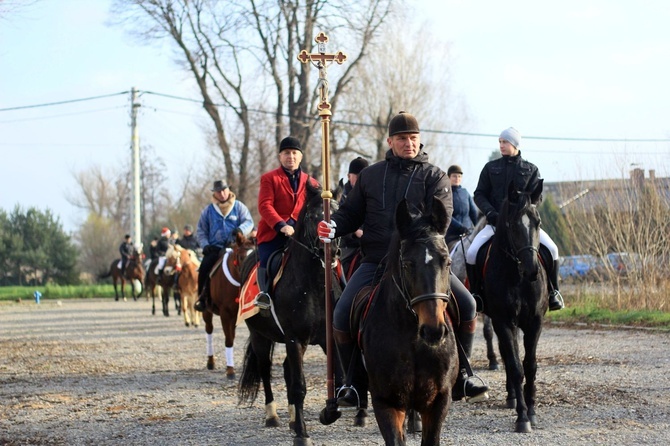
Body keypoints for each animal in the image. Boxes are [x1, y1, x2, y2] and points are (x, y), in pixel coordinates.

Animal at [201, 230, 256, 380]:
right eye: (241, 257)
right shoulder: (225, 314)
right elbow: (229, 340)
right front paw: (230, 370)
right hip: (206, 312)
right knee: (209, 330)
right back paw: (210, 361)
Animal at [239, 182, 344, 446]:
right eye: (313, 216)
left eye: (338, 214)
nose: (332, 251)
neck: (315, 285)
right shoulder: (295, 339)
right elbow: (299, 385)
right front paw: (302, 434)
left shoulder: (327, 339)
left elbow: (338, 379)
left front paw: (328, 413)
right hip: (260, 337)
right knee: (266, 370)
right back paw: (273, 416)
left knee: (286, 369)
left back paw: (292, 418)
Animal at [356, 199, 462, 446]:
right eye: (407, 264)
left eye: (447, 261)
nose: (433, 331)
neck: (413, 342)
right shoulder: (387, 402)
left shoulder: (439, 401)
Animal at [478, 179, 552, 434]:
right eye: (512, 225)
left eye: (538, 222)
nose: (532, 270)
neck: (517, 276)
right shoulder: (503, 321)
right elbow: (515, 366)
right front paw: (522, 417)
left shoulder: (534, 322)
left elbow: (530, 365)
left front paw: (532, 411)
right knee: (507, 356)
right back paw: (511, 397)